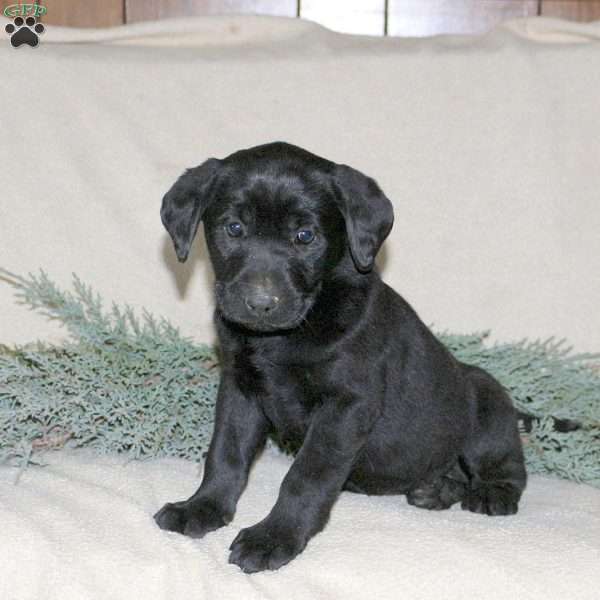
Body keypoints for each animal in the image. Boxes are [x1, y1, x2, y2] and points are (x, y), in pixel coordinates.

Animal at [155, 141, 524, 572]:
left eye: (305, 235)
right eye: (233, 228)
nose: (260, 304)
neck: (284, 336)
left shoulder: (346, 406)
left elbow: (305, 476)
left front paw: (274, 537)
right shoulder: (239, 389)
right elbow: (225, 454)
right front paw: (202, 507)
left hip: (488, 407)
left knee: (508, 466)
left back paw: (491, 493)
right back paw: (436, 490)